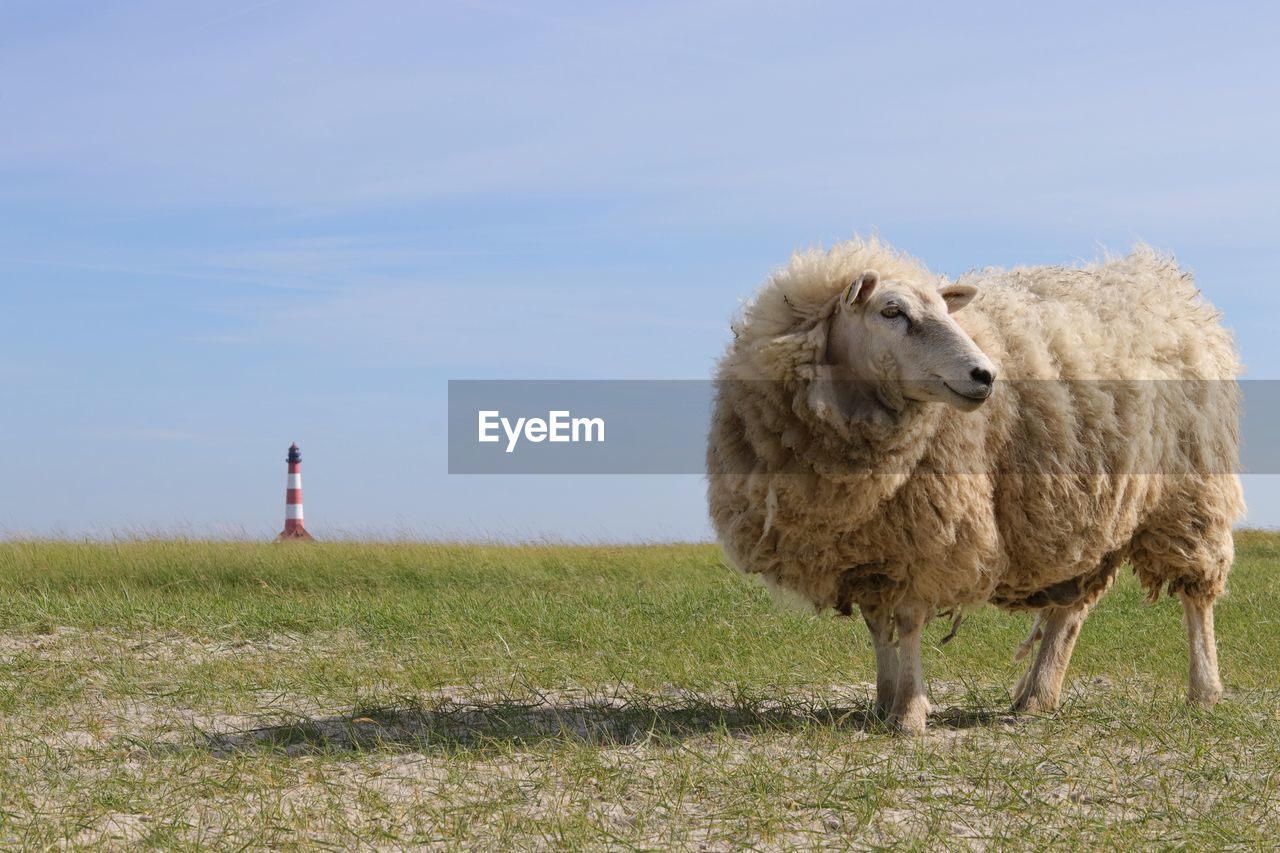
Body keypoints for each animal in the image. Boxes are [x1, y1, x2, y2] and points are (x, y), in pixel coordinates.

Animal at [706, 236, 1244, 732]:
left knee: (1197, 597)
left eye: (948, 311)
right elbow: (878, 625)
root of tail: (1162, 283)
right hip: (1091, 513)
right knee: (1070, 611)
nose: (985, 374)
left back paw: (1203, 691)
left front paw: (910, 712)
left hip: (1189, 495)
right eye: (891, 310)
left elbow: (909, 622)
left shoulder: (928, 535)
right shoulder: (870, 547)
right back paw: (1037, 695)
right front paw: (882, 702)